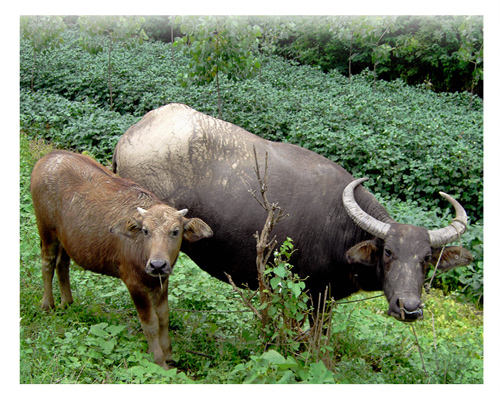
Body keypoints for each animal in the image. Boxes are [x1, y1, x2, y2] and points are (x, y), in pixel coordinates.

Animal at [29, 150, 213, 368]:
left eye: (176, 231)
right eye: (145, 230)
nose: (157, 265)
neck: (143, 252)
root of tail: (49, 157)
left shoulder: (162, 281)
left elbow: (163, 317)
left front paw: (168, 353)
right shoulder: (134, 284)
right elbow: (150, 323)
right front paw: (159, 360)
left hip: (65, 237)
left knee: (62, 264)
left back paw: (68, 303)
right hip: (46, 228)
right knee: (47, 262)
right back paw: (48, 305)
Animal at [112, 104, 472, 322]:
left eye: (426, 259)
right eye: (388, 253)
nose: (409, 308)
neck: (342, 227)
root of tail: (131, 133)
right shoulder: (312, 294)